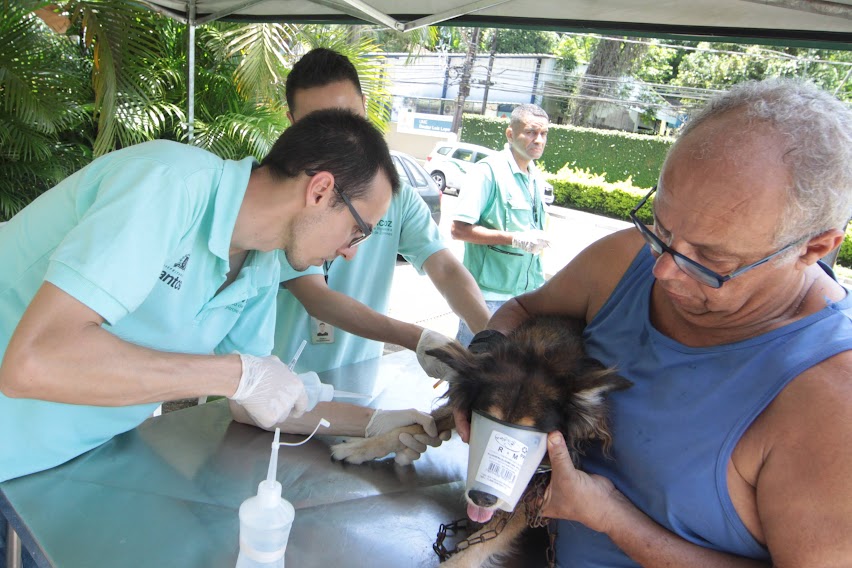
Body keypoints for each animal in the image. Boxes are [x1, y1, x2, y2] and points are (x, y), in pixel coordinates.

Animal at [331, 316, 631, 567]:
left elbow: (479, 546)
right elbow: (416, 423)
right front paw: (360, 447)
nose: (483, 498)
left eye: (535, 441)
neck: (539, 351)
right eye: (486, 422)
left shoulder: (537, 489)